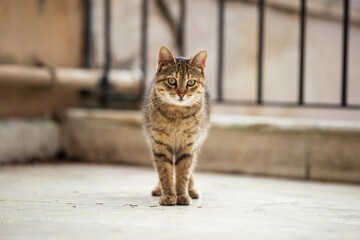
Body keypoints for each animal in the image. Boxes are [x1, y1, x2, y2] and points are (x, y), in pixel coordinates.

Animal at [143, 47, 211, 206]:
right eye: (172, 80)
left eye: (191, 82)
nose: (181, 94)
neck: (177, 116)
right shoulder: (159, 146)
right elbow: (165, 173)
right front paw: (168, 195)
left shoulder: (188, 147)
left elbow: (183, 174)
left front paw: (181, 195)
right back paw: (159, 189)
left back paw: (191, 190)